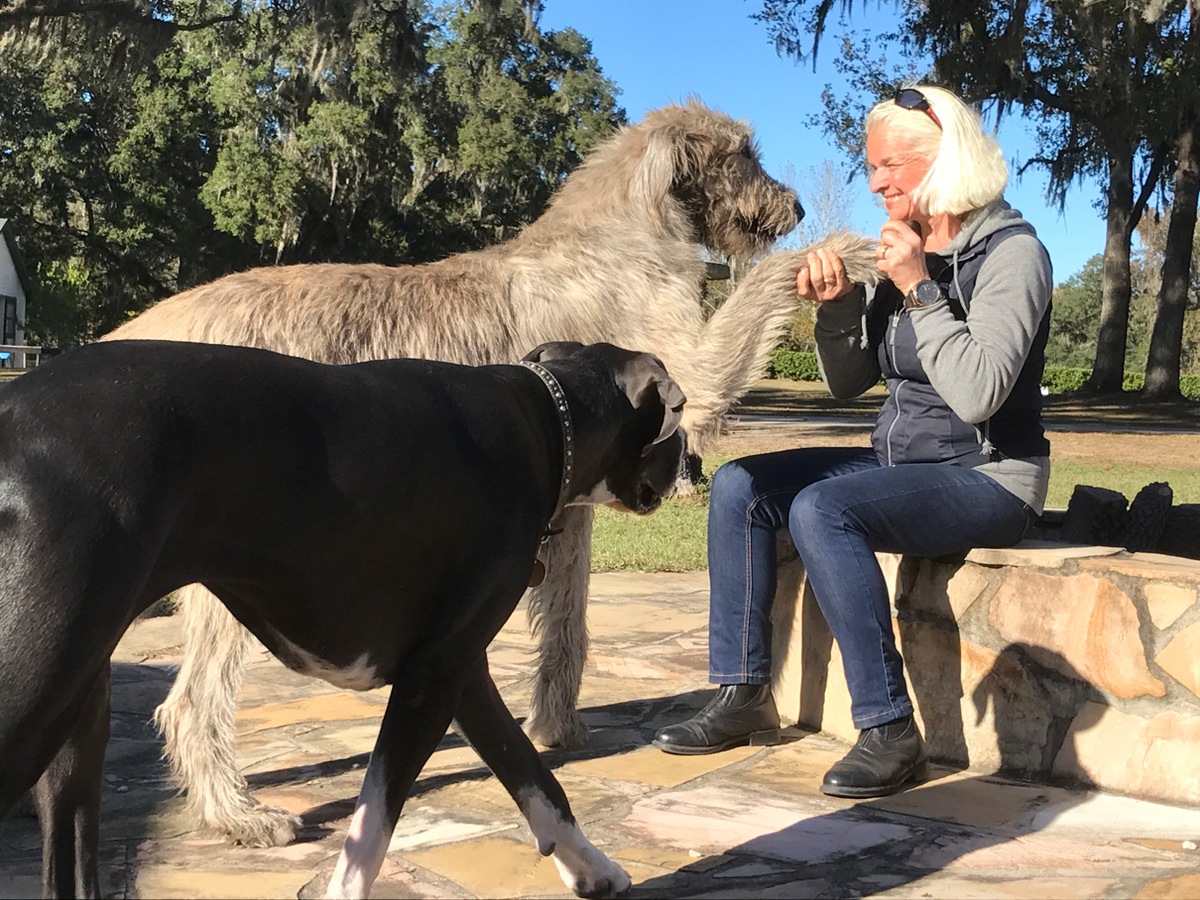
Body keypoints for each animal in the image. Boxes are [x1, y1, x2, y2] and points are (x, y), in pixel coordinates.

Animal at [0, 340, 686, 900]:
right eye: (674, 427)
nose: (693, 461)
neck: (545, 418)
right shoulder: (430, 683)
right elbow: (370, 830)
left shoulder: (457, 671)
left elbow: (535, 777)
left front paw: (592, 867)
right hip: (36, 690)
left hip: (77, 721)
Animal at [103, 102, 878, 849]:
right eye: (744, 154)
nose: (797, 208)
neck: (621, 237)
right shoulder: (693, 373)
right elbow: (755, 302)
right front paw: (848, 253)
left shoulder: (572, 503)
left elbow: (568, 618)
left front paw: (558, 728)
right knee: (190, 699)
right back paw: (236, 814)